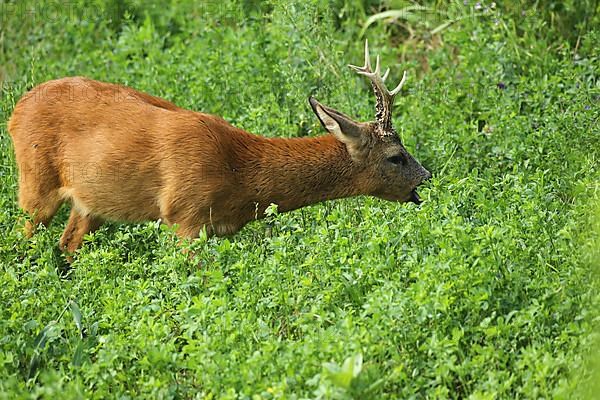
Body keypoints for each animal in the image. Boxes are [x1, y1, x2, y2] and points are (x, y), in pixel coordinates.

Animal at [8, 41, 432, 256]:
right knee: (22, 235)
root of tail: (17, 106)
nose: (427, 176)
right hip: (35, 182)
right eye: (396, 157)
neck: (239, 173)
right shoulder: (184, 216)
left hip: (89, 203)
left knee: (66, 246)